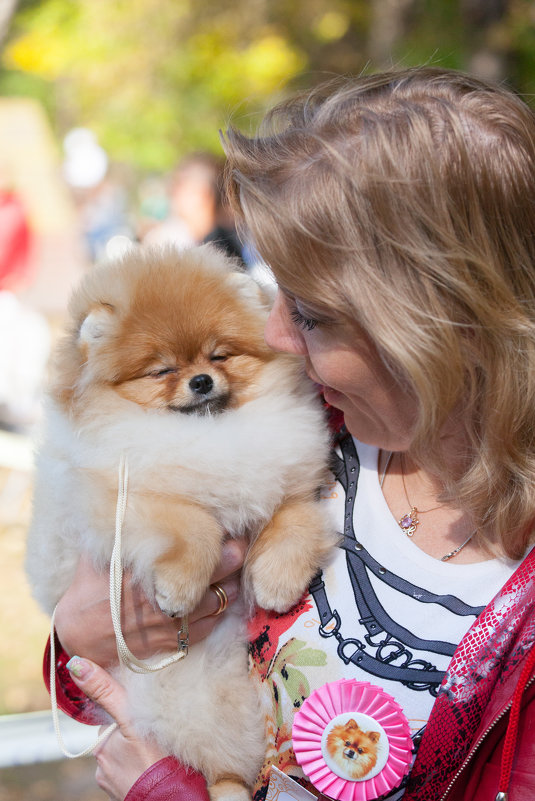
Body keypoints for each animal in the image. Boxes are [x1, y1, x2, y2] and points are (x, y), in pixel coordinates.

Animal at [26, 244, 340, 800]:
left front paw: (276, 582)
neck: (210, 433)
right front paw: (177, 589)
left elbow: (293, 519)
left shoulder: (295, 481)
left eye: (218, 356)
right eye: (162, 370)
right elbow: (194, 524)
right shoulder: (113, 499)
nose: (200, 381)